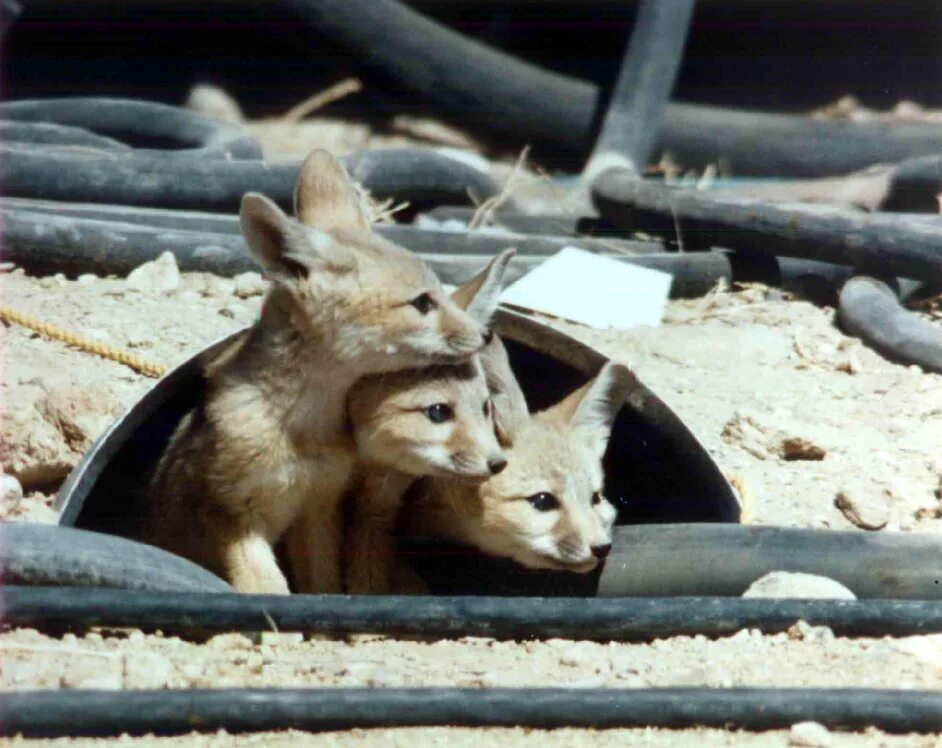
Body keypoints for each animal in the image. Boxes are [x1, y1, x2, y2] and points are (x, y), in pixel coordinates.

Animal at [143, 149, 498, 592]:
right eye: (422, 303)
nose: (486, 333)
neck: (300, 429)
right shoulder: (231, 519)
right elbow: (268, 588)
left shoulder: (317, 508)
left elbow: (323, 586)